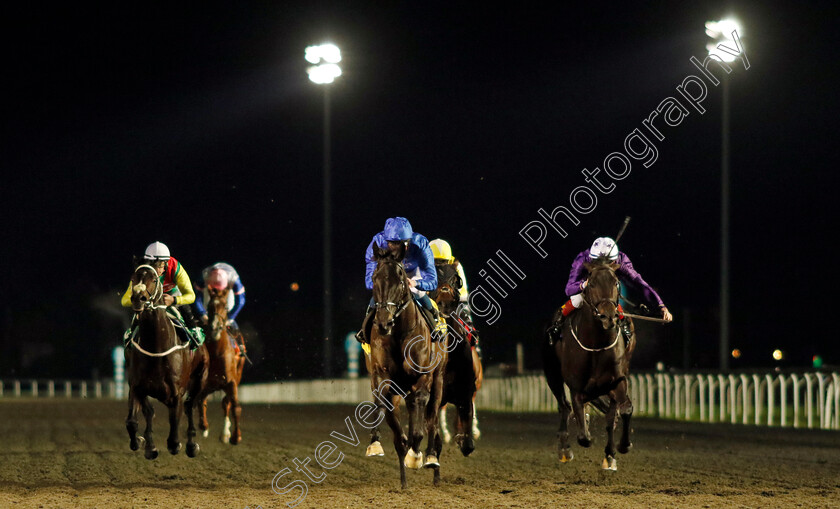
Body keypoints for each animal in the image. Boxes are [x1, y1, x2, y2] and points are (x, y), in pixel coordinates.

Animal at [125, 264, 209, 458]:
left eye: (154, 279)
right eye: (133, 278)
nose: (138, 298)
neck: (156, 348)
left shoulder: (176, 391)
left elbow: (175, 422)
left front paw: (176, 443)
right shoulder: (136, 386)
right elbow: (134, 420)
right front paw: (143, 443)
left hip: (200, 378)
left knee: (189, 405)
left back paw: (191, 444)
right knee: (150, 412)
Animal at [197, 286, 246, 444]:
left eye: (225, 306)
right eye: (209, 307)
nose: (214, 327)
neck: (217, 352)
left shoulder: (231, 382)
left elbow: (235, 407)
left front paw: (236, 436)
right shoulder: (205, 383)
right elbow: (200, 400)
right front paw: (204, 426)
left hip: (237, 376)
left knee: (226, 403)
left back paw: (225, 433)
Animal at [364, 244, 450, 490]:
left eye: (401, 279)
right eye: (374, 277)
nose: (384, 322)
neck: (399, 332)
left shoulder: (422, 377)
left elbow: (420, 423)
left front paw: (417, 455)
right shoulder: (381, 377)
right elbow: (388, 416)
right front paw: (377, 444)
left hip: (438, 379)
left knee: (432, 419)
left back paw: (431, 459)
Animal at [540, 260, 632, 470]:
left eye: (616, 283)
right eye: (591, 284)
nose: (608, 317)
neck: (596, 344)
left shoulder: (617, 380)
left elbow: (624, 410)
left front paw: (621, 446)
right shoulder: (576, 388)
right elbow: (583, 436)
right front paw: (585, 433)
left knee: (610, 414)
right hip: (552, 375)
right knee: (564, 406)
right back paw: (565, 448)